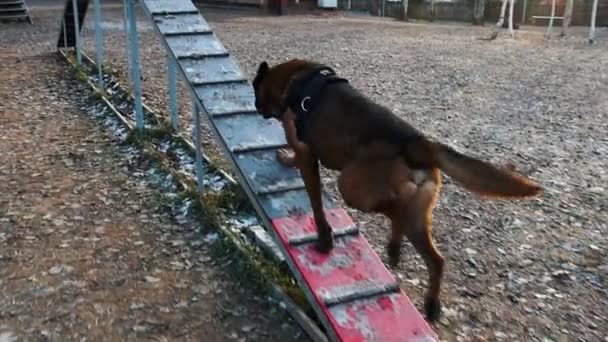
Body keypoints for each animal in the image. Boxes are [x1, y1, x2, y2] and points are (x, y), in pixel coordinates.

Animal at [252, 57, 540, 322]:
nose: (256, 107)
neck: (290, 80)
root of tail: (418, 144)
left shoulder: (306, 156)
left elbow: (316, 204)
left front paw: (324, 240)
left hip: (351, 185)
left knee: (395, 212)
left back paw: (394, 248)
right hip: (418, 213)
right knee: (435, 258)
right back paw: (428, 298)